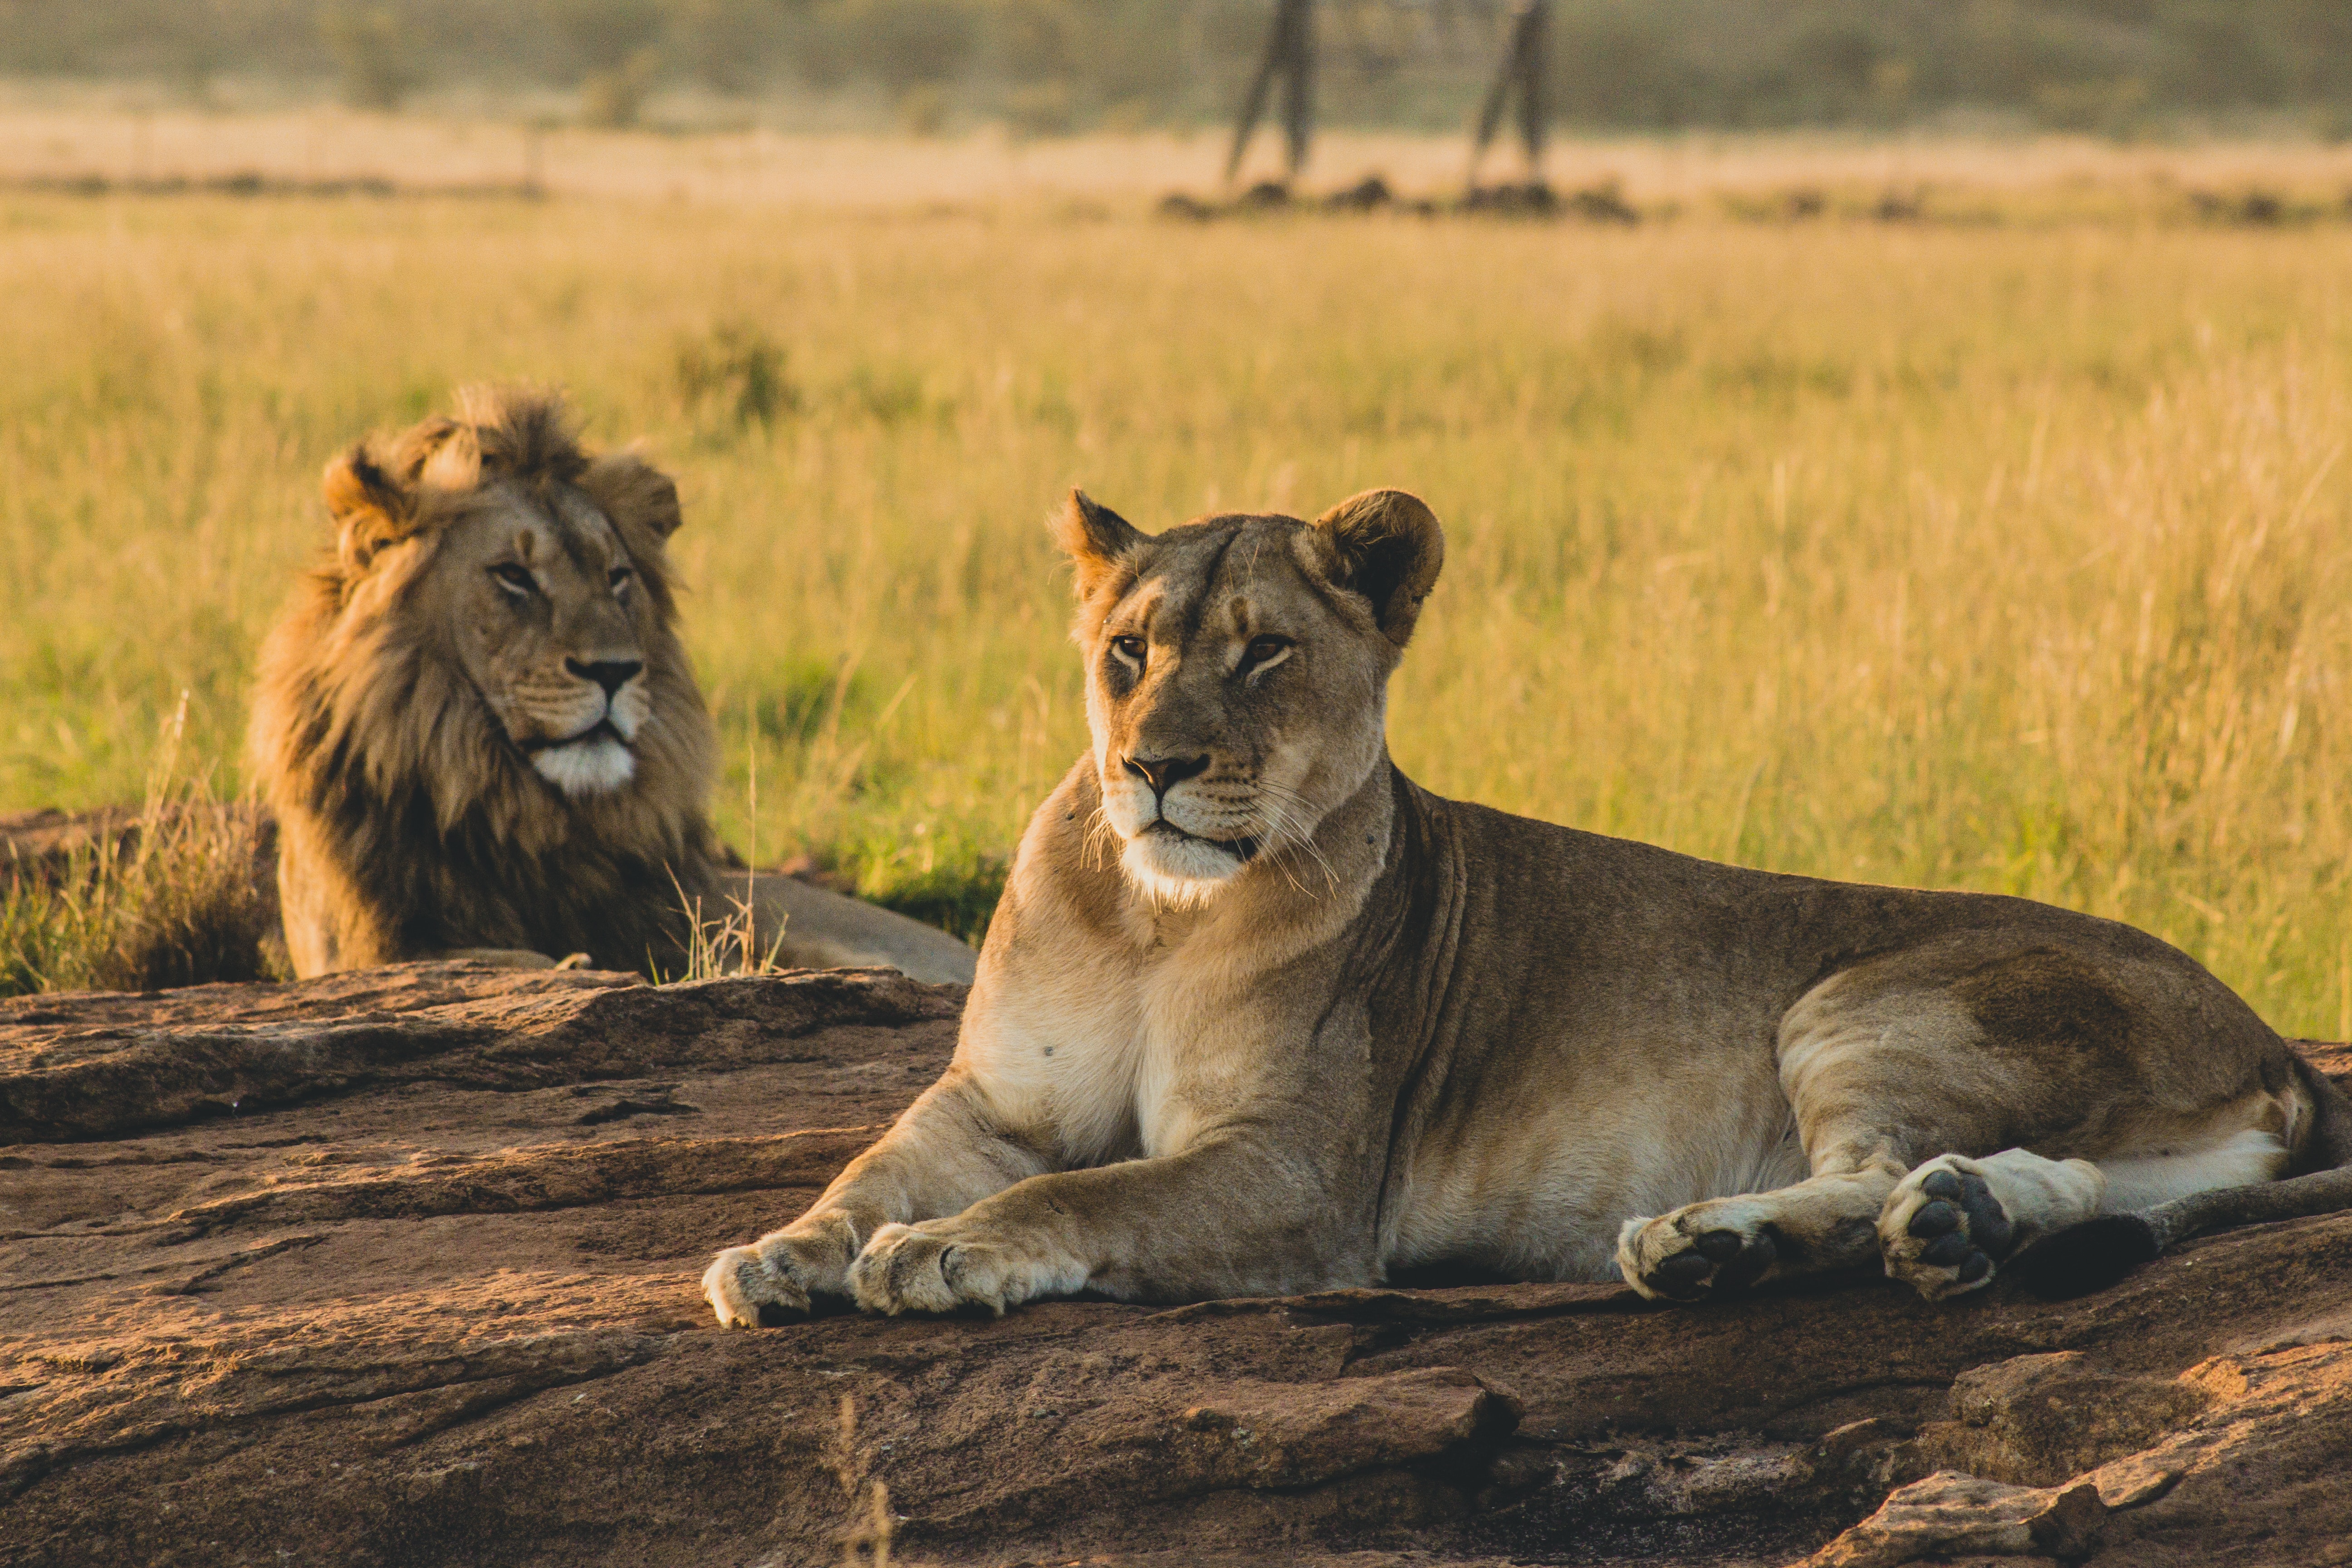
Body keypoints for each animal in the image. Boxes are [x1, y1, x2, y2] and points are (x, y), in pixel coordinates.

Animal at [250, 386, 975, 986]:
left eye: (617, 576)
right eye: (513, 575)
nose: (614, 671)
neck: (504, 805)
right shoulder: (362, 946)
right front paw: (568, 963)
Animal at [703, 487, 2352, 1325]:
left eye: (1263, 653)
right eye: (1128, 650)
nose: (1154, 766)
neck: (1157, 916)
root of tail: (2274, 1042)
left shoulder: (1297, 1174)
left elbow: (1078, 1197)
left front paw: (940, 1254)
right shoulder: (996, 1098)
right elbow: (873, 1167)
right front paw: (780, 1254)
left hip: (1858, 999)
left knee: (1878, 1170)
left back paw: (1714, 1240)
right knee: (2046, 1183)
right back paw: (1939, 1224)